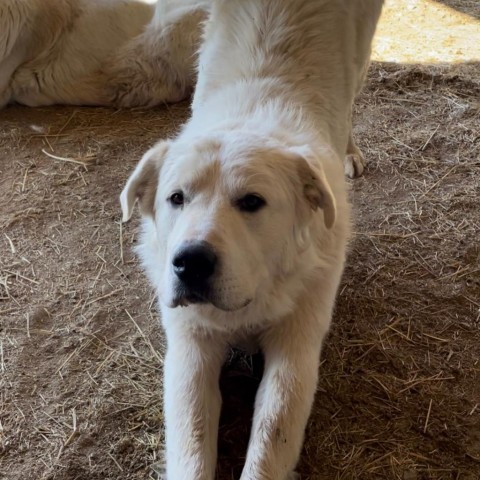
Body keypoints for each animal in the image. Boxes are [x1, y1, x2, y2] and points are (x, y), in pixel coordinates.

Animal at [122, 1, 384, 478]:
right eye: (176, 198)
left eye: (251, 202)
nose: (190, 262)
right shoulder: (190, 348)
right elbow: (191, 443)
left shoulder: (295, 351)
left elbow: (271, 438)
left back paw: (352, 151)